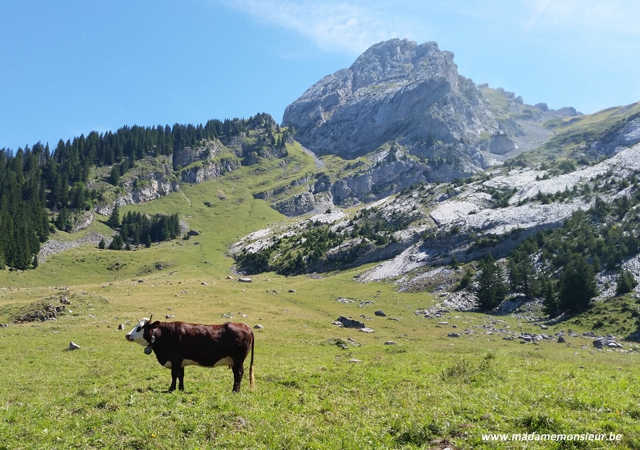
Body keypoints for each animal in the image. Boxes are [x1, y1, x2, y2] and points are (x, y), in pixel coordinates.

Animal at [125, 314, 255, 392]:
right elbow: (180, 375)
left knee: (239, 373)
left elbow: (174, 374)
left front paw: (171, 389)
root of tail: (245, 325)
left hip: (238, 359)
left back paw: (235, 391)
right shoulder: (181, 361)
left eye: (140, 327)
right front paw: (181, 389)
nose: (127, 335)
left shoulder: (176, 359)